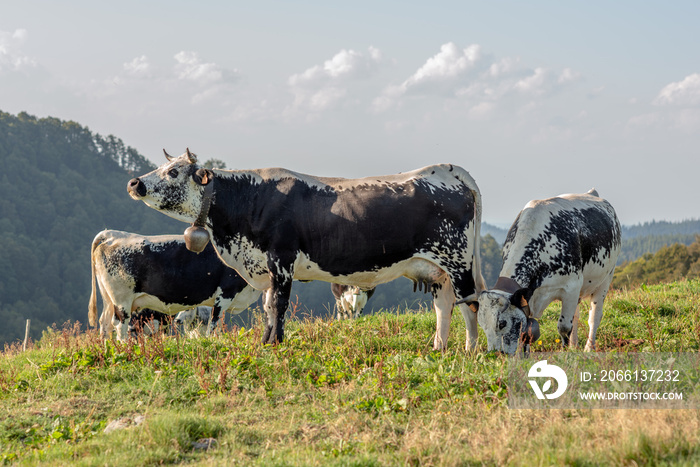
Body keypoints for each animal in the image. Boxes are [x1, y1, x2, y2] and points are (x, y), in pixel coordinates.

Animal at [87, 229, 262, 342]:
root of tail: (113, 235)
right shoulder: (225, 292)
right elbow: (214, 325)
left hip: (108, 298)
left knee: (105, 324)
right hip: (122, 300)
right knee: (120, 326)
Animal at [127, 150, 486, 352]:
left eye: (173, 171)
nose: (134, 183)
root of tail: (447, 169)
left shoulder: (281, 259)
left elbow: (278, 305)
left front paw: (275, 343)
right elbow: (269, 305)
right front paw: (267, 342)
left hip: (458, 260)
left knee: (470, 304)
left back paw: (470, 350)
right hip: (435, 269)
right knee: (443, 306)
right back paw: (439, 347)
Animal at [468, 189, 620, 354]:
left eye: (502, 323)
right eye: (482, 324)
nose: (495, 353)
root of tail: (592, 193)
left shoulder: (571, 288)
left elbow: (564, 327)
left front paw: (565, 353)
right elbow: (527, 329)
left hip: (606, 279)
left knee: (594, 317)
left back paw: (588, 347)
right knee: (576, 315)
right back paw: (574, 346)